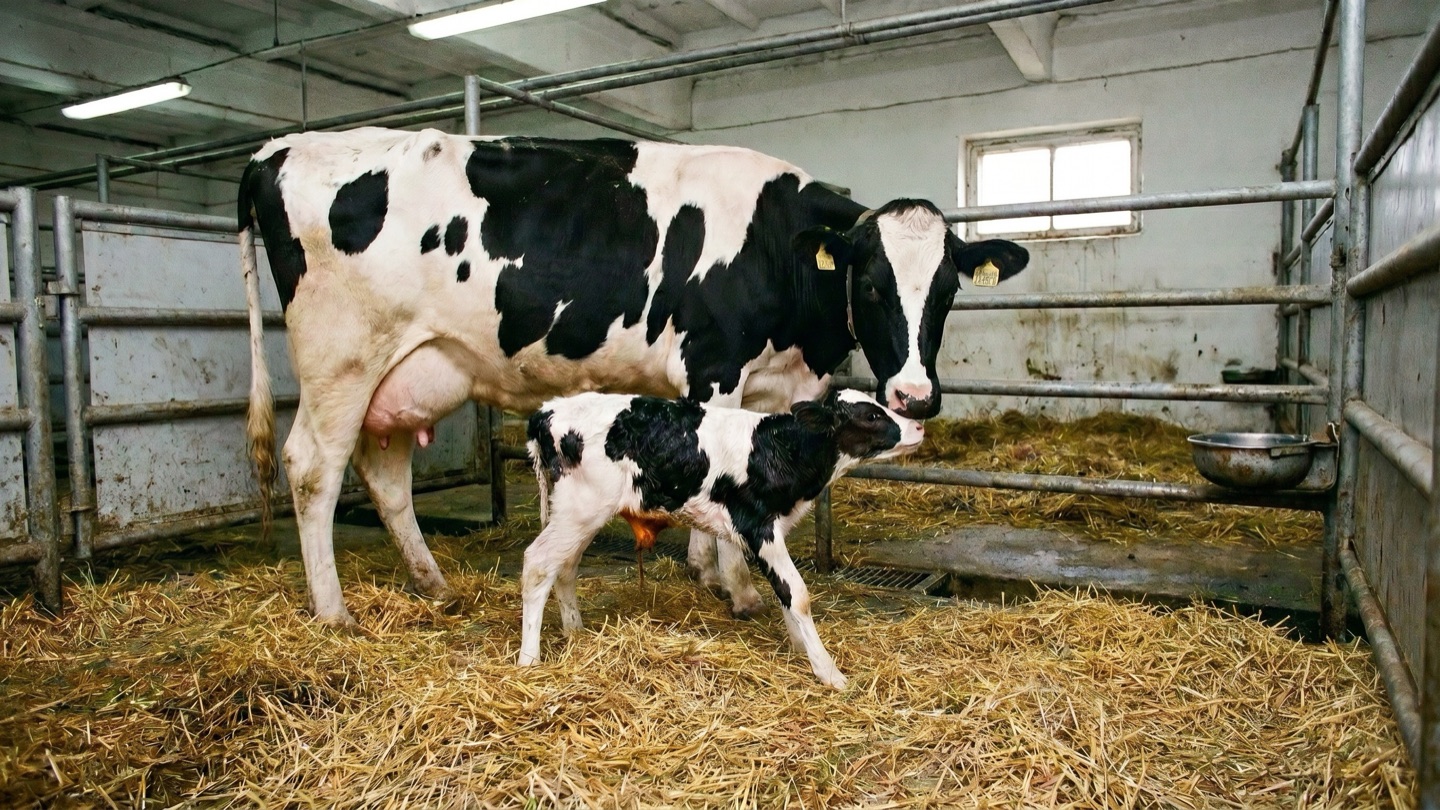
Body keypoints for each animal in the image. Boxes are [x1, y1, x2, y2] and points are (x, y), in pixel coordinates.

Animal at [237, 126, 1028, 629]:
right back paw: (333, 612)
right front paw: (736, 586)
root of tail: (280, 148)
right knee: (313, 467)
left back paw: (435, 586)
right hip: (342, 354)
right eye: (869, 284)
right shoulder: (713, 365)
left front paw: (710, 571)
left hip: (403, 374)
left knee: (385, 476)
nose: (915, 395)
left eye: (949, 290)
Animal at [522, 389, 924, 688]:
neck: (778, 449)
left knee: (565, 566)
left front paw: (800, 649)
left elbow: (785, 593)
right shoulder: (757, 527)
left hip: (576, 513)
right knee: (538, 564)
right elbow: (797, 593)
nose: (919, 425)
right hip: (581, 509)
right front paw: (828, 671)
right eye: (870, 415)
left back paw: (575, 633)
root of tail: (547, 410)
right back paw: (529, 660)